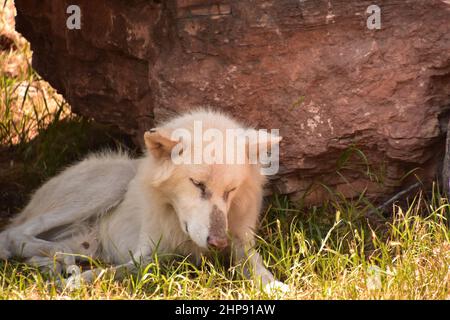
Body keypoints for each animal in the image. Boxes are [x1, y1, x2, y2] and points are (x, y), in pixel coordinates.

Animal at [0, 109, 288, 292]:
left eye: (231, 190)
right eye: (197, 184)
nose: (218, 243)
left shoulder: (240, 241)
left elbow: (257, 265)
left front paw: (274, 286)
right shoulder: (146, 256)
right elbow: (108, 273)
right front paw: (72, 284)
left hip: (86, 242)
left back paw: (56, 262)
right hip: (114, 180)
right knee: (13, 234)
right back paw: (60, 262)